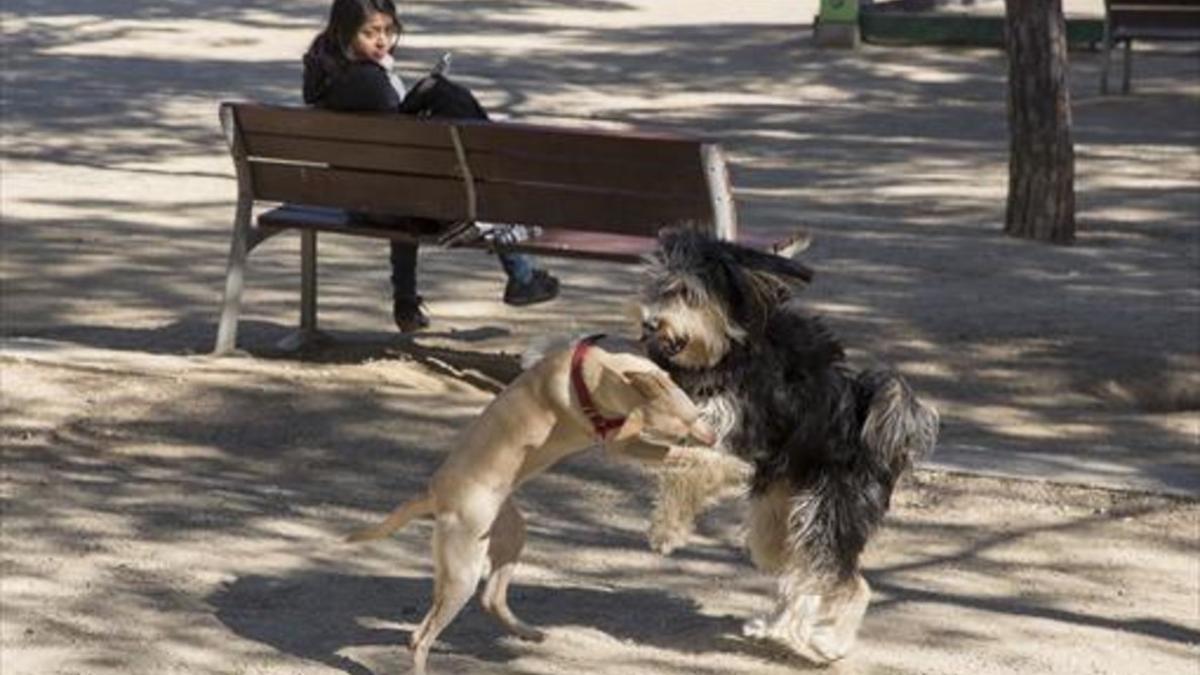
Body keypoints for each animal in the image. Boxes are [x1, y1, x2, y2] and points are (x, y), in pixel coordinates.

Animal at [348, 333, 710, 672]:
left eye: (694, 416)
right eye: (684, 427)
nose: (711, 435)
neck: (590, 376)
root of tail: (434, 493)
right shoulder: (621, 443)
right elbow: (672, 452)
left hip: (509, 536)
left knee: (486, 600)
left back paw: (529, 633)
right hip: (462, 573)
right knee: (425, 637)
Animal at [638, 228, 936, 658]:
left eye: (686, 292)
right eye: (659, 286)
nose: (648, 324)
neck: (728, 355)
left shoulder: (733, 444)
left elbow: (688, 465)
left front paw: (667, 531)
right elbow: (675, 462)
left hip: (829, 513)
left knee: (848, 581)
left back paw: (830, 642)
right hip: (780, 520)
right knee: (801, 573)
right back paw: (779, 627)